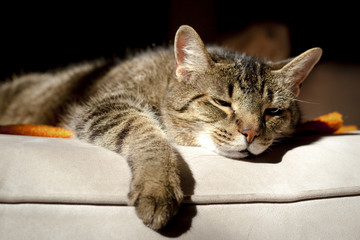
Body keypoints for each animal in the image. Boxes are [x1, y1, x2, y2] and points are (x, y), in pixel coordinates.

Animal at [0, 25, 320, 230]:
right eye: (222, 103)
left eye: (273, 111)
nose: (251, 133)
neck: (164, 82)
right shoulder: (108, 107)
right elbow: (149, 134)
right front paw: (158, 186)